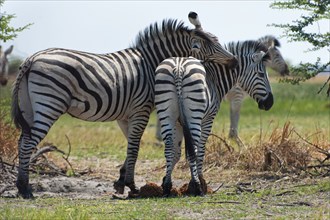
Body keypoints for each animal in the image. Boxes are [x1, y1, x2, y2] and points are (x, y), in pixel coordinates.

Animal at [10, 14, 237, 199]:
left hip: (29, 107)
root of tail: (32, 58)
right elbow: (135, 147)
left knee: (22, 140)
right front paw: (132, 186)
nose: (234, 61)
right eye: (211, 45)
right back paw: (26, 189)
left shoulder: (125, 114)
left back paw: (21, 186)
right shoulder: (141, 110)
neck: (150, 62)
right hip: (49, 104)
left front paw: (120, 182)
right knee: (29, 143)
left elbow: (130, 145)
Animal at [155, 41, 274, 196]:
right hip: (195, 115)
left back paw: (167, 187)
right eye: (261, 74)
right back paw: (197, 186)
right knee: (194, 147)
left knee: (169, 145)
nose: (270, 103)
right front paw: (199, 181)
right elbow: (200, 150)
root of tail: (178, 67)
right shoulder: (208, 119)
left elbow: (176, 153)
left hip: (165, 112)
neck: (215, 78)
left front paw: (166, 181)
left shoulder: (178, 123)